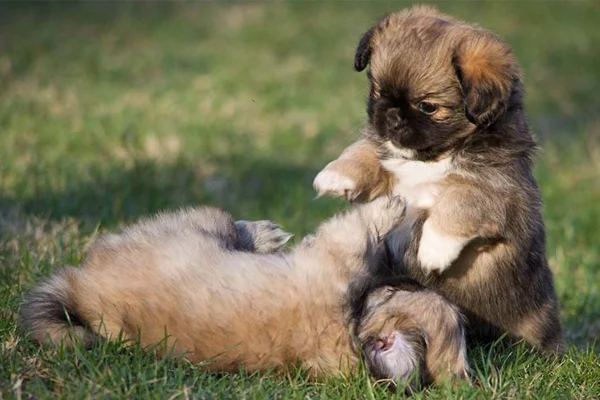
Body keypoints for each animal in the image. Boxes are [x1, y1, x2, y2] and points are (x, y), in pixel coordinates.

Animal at [21, 199, 468, 388]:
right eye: (398, 287)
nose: (407, 277)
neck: (351, 331)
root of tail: (78, 288)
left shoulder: (339, 256)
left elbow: (361, 227)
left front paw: (395, 206)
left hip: (196, 223)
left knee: (226, 224)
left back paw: (261, 234)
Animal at [312, 5, 564, 354]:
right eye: (378, 91)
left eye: (428, 106)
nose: (392, 115)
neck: (432, 159)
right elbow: (369, 149)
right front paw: (337, 174)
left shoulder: (495, 190)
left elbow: (460, 200)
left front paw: (434, 248)